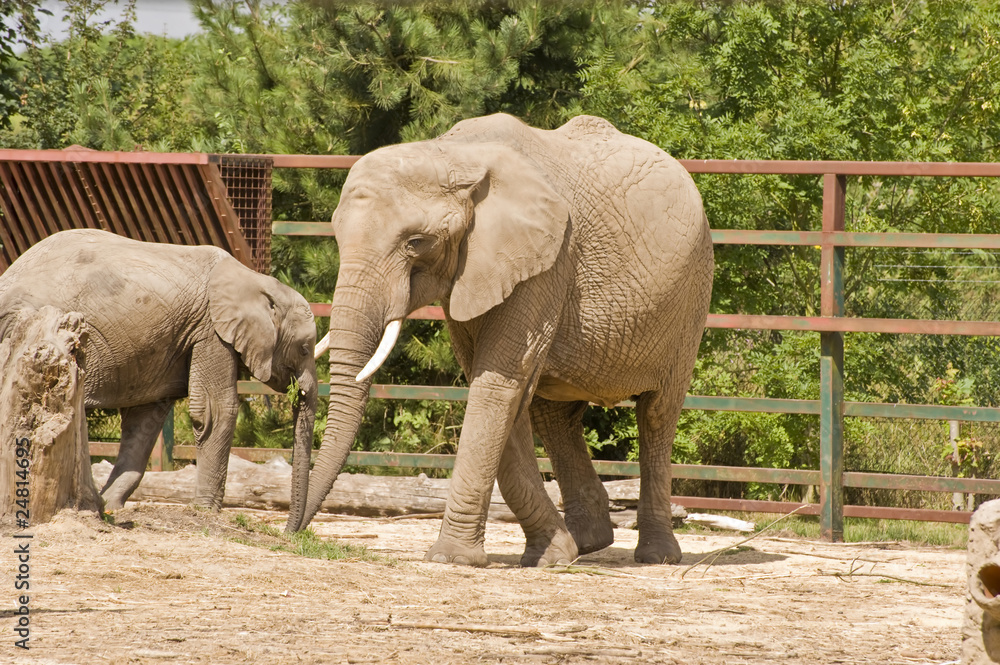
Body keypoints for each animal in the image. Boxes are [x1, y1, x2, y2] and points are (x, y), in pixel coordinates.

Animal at [0, 229, 318, 530]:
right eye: (304, 348)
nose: (290, 531)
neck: (257, 280)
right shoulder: (211, 331)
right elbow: (216, 411)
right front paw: (206, 511)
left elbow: (144, 422)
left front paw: (109, 505)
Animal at [298, 113, 714, 567]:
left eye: (416, 243)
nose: (293, 531)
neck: (451, 153)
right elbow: (499, 389)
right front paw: (553, 555)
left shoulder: (547, 261)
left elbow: (498, 384)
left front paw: (450, 559)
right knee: (554, 416)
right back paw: (589, 543)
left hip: (692, 297)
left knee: (657, 414)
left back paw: (657, 556)